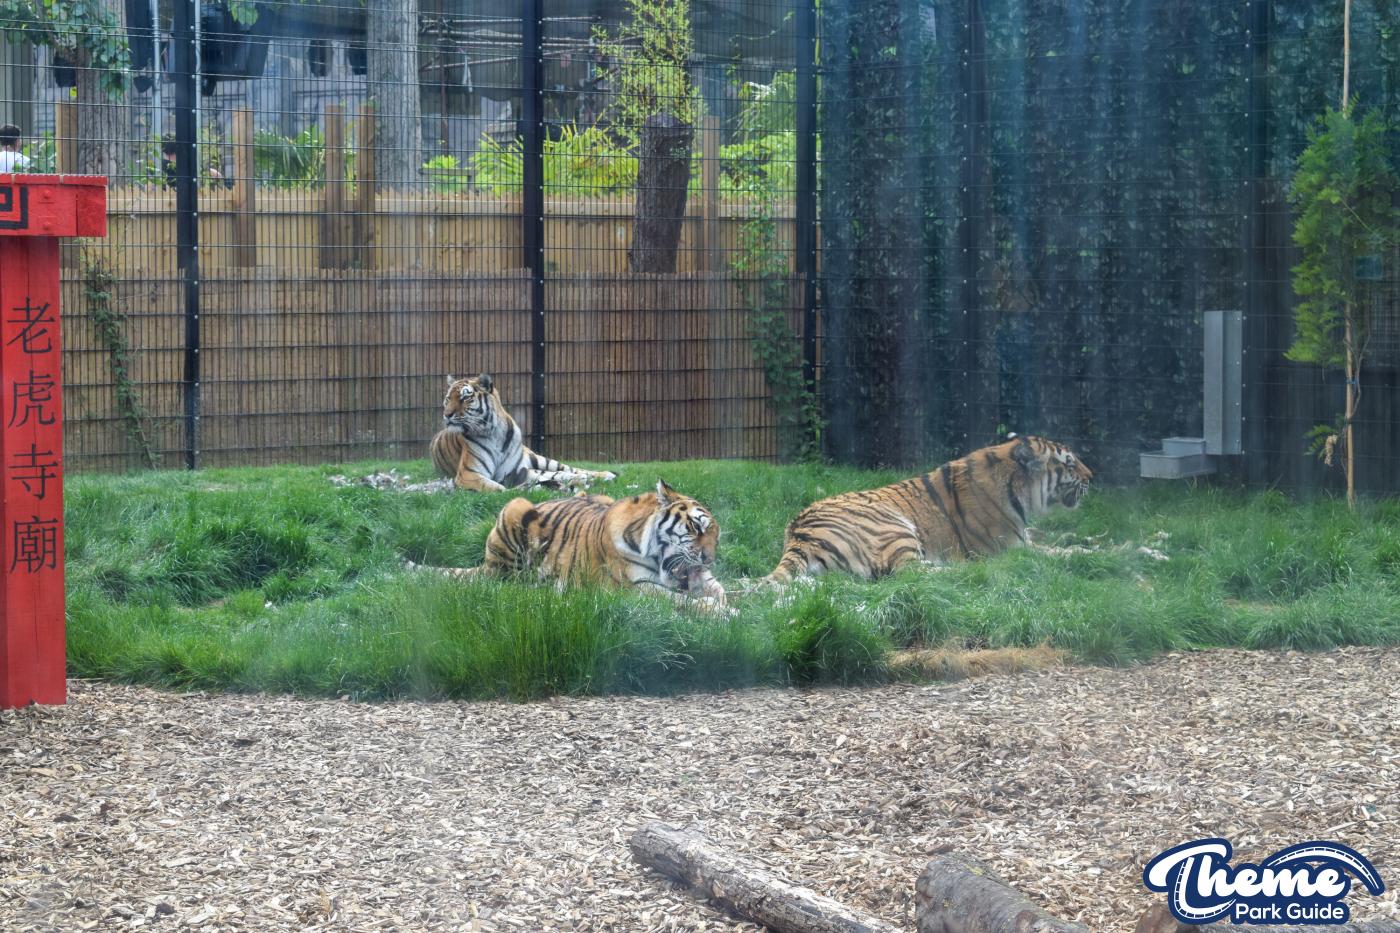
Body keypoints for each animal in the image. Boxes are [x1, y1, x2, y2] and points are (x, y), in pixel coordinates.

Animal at [409, 480, 726, 610]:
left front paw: (723, 604)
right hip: (514, 508)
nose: (709, 559)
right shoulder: (631, 589)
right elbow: (678, 600)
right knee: (505, 583)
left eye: (716, 536)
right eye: (696, 527)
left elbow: (719, 590)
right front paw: (719, 612)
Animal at [430, 373, 616, 492]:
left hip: (540, 460)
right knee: (561, 474)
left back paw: (604, 474)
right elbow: (499, 489)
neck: (493, 432)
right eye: (448, 398)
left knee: (571, 469)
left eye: (465, 398)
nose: (447, 414)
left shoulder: (517, 470)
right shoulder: (469, 474)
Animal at [765, 435, 1092, 584]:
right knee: (908, 572)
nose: (1092, 477)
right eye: (1069, 463)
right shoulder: (1011, 547)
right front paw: (1097, 552)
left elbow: (1053, 540)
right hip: (896, 527)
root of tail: (798, 533)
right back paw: (964, 569)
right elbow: (1055, 553)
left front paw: (1088, 540)